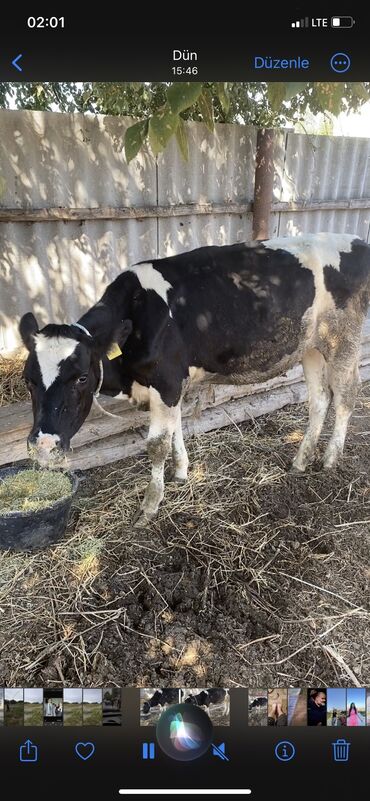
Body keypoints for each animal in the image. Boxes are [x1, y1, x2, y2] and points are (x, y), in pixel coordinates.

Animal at [19, 233, 370, 524]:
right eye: (28, 380)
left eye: (80, 378)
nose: (43, 446)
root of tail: (356, 241)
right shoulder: (170, 384)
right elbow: (176, 426)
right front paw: (181, 471)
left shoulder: (166, 380)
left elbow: (157, 444)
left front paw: (150, 506)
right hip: (309, 347)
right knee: (319, 399)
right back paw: (300, 460)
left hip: (344, 339)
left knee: (346, 397)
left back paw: (329, 459)